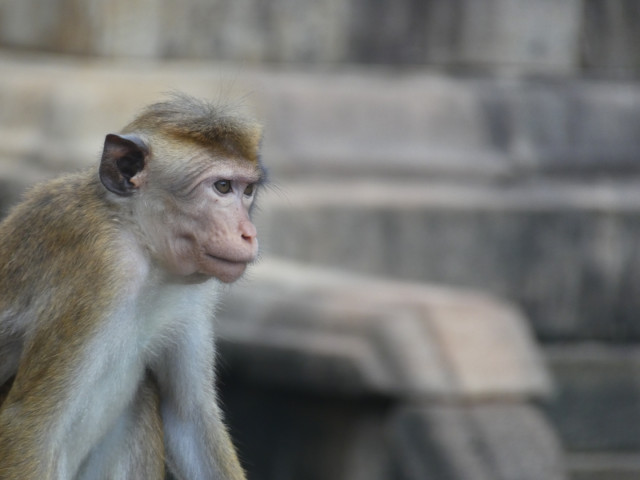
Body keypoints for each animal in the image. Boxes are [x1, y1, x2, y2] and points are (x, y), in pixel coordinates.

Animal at [0, 93, 263, 480]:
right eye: (222, 187)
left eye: (248, 190)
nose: (249, 234)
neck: (140, 240)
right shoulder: (100, 268)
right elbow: (29, 429)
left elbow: (189, 418)